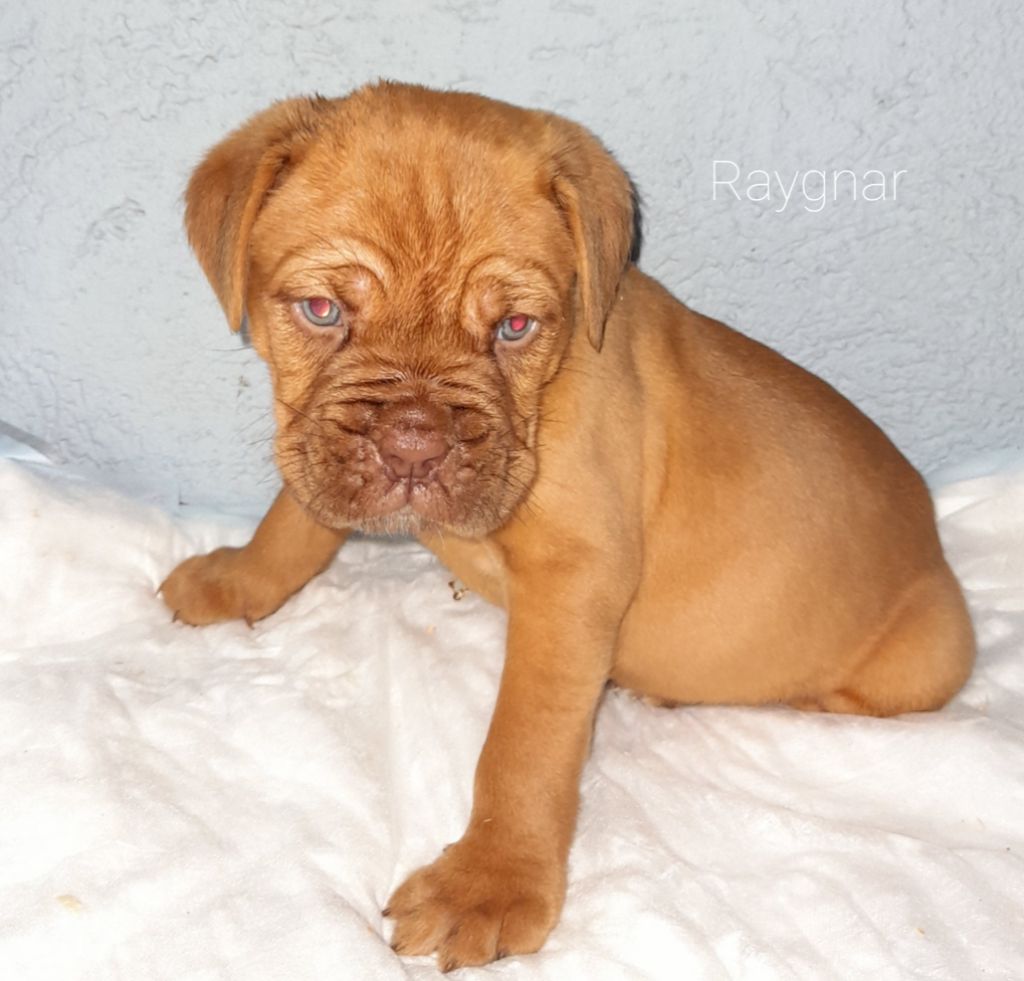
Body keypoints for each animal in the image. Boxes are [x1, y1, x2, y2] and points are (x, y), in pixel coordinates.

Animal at [160, 82, 975, 970]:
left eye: (514, 327)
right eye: (321, 309)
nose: (414, 439)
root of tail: (932, 538)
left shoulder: (573, 576)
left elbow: (524, 744)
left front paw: (489, 882)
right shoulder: (321, 445)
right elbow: (294, 520)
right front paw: (235, 577)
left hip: (927, 654)